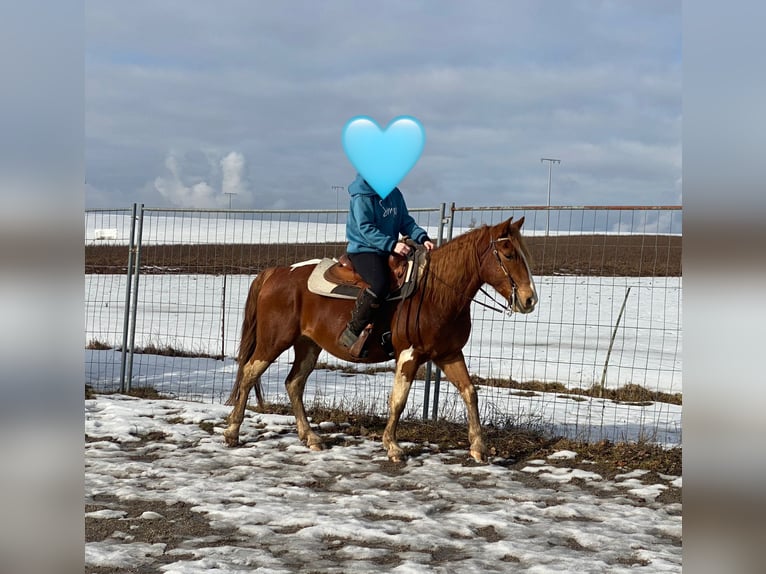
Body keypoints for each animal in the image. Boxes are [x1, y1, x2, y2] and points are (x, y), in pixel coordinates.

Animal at [224, 217, 538, 462]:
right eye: (509, 255)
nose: (529, 300)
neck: (437, 293)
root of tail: (274, 273)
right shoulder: (410, 354)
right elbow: (398, 399)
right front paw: (393, 446)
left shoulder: (448, 354)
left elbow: (470, 392)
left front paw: (479, 448)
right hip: (273, 341)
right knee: (250, 373)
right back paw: (232, 432)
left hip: (308, 345)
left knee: (294, 383)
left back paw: (311, 437)